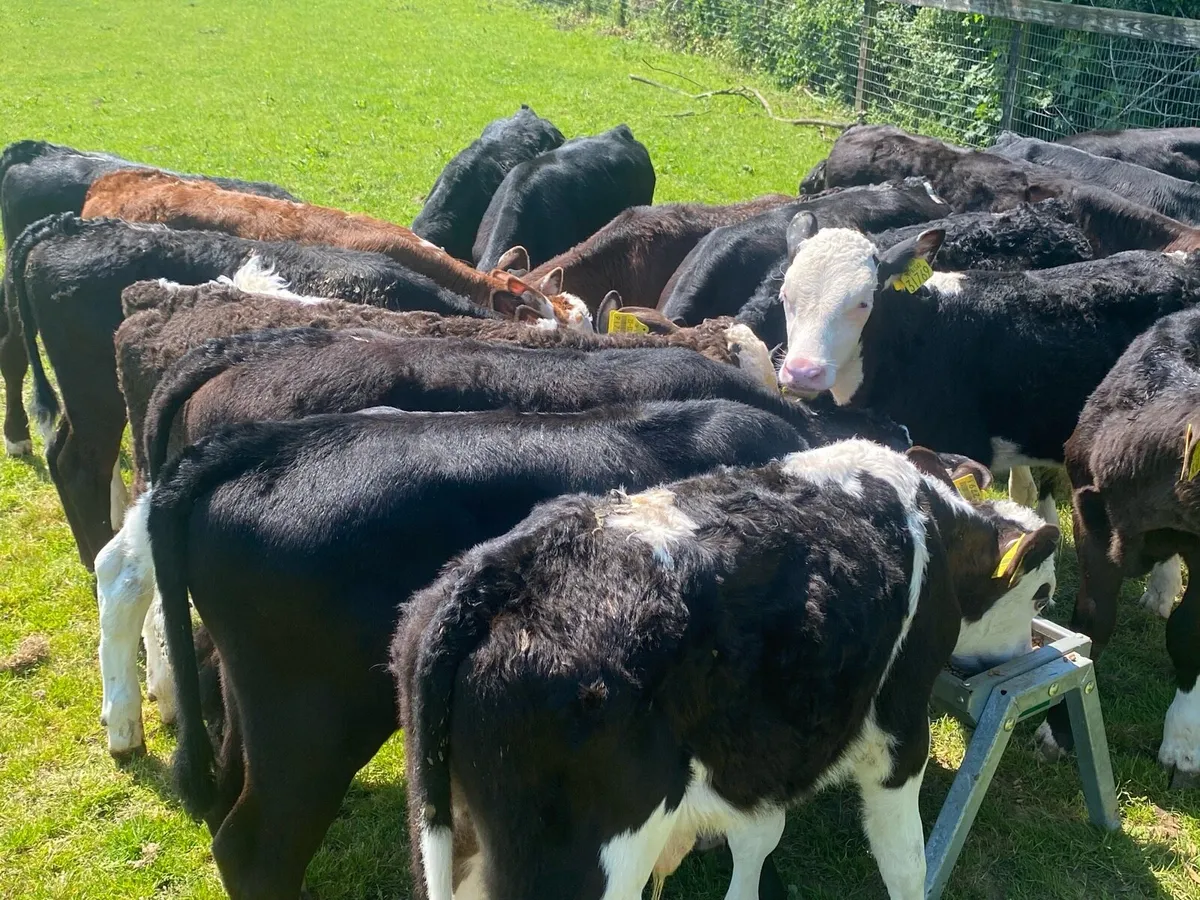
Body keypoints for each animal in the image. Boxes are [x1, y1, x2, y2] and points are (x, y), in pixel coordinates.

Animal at [392, 439, 1059, 900]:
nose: (1024, 650)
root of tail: (506, 567)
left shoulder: (762, 749)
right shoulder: (898, 731)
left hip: (453, 833)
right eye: (1044, 593)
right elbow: (905, 859)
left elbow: (759, 835)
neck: (931, 521)